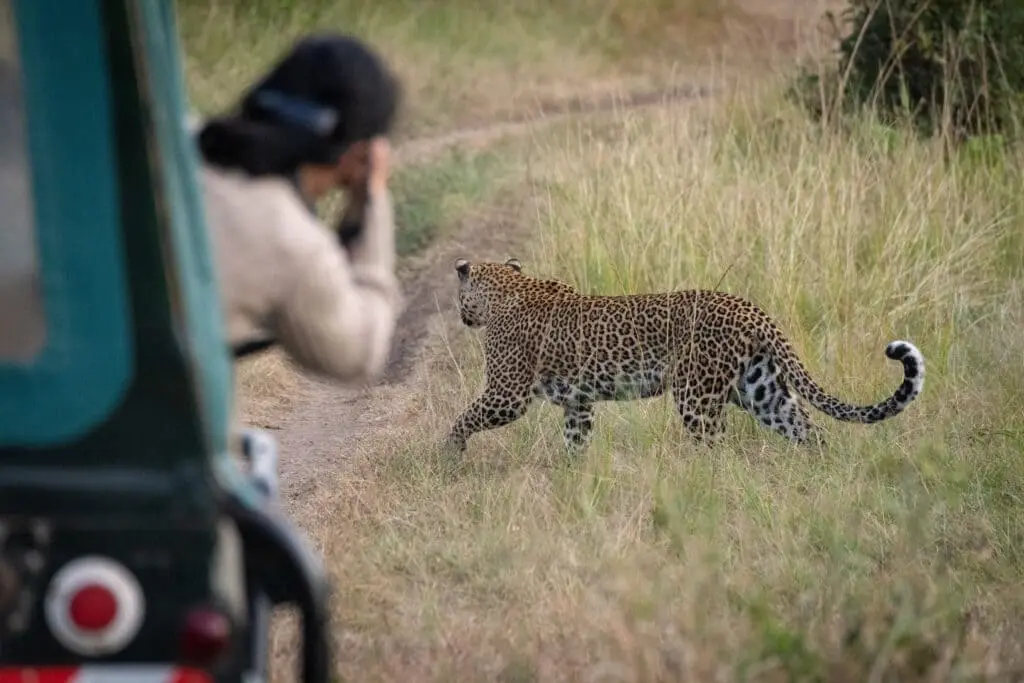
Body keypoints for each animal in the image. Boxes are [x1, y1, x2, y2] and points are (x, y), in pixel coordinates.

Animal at [443, 257, 925, 456]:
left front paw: (448, 453)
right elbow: (575, 441)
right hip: (762, 390)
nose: (461, 315)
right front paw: (571, 476)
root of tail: (751, 308)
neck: (506, 287)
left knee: (715, 446)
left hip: (697, 394)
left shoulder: (507, 394)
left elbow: (464, 417)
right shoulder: (579, 403)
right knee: (808, 430)